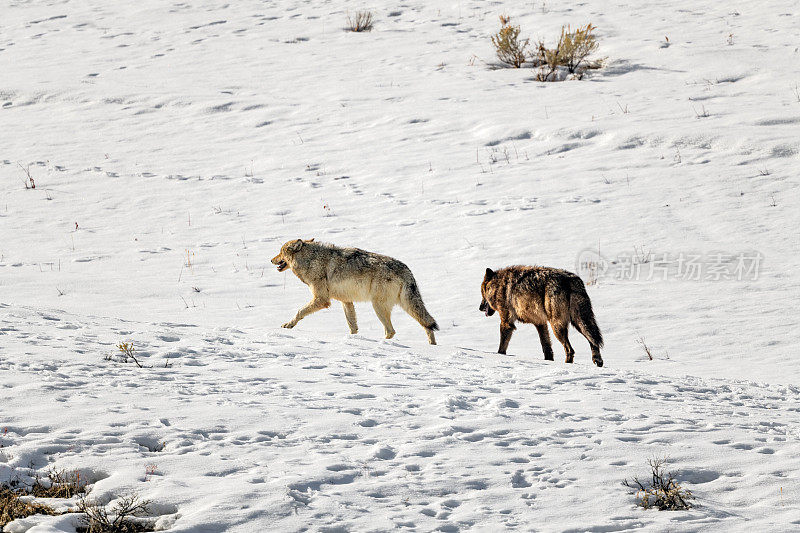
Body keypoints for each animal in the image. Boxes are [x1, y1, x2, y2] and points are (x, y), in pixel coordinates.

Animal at [272, 239, 440, 342]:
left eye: (280, 252)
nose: (271, 259)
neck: (311, 260)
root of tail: (406, 270)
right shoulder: (346, 301)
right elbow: (352, 325)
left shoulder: (322, 299)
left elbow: (299, 311)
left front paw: (288, 325)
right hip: (406, 305)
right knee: (427, 325)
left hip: (378, 306)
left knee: (391, 331)